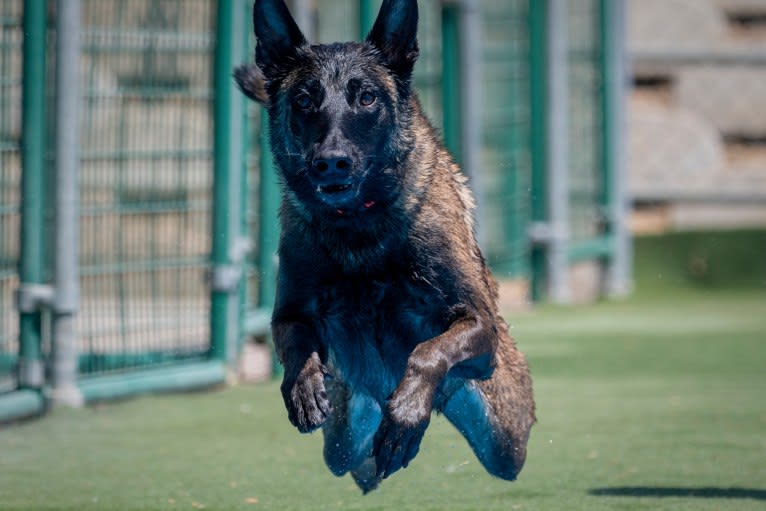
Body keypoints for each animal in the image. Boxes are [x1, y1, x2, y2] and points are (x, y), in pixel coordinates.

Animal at [237, 0, 536, 494]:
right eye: (304, 100)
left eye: (367, 98)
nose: (331, 162)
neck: (358, 226)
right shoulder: (290, 313)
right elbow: (296, 344)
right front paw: (303, 386)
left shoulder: (478, 322)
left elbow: (428, 351)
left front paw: (407, 413)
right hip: (344, 439)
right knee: (352, 460)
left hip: (505, 436)